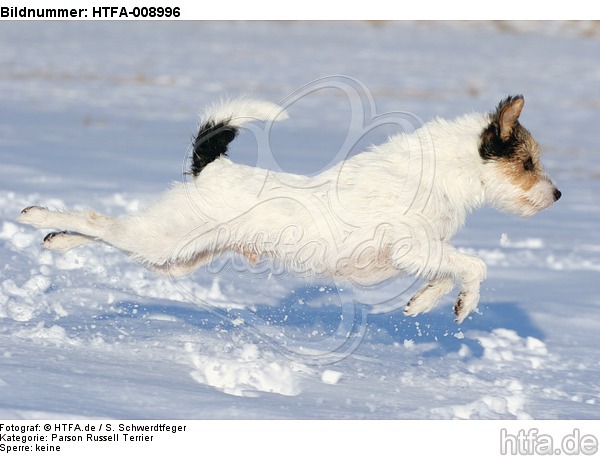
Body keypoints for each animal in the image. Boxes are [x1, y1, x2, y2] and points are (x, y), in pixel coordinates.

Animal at [18, 95, 564, 324]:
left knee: (107, 232)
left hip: (173, 256)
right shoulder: (415, 246)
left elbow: (448, 271)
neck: (447, 172)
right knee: (99, 221)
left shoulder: (422, 252)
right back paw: (37, 215)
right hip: (165, 239)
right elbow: (474, 266)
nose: (558, 194)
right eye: (529, 163)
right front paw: (463, 304)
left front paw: (424, 302)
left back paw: (57, 241)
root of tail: (210, 167)